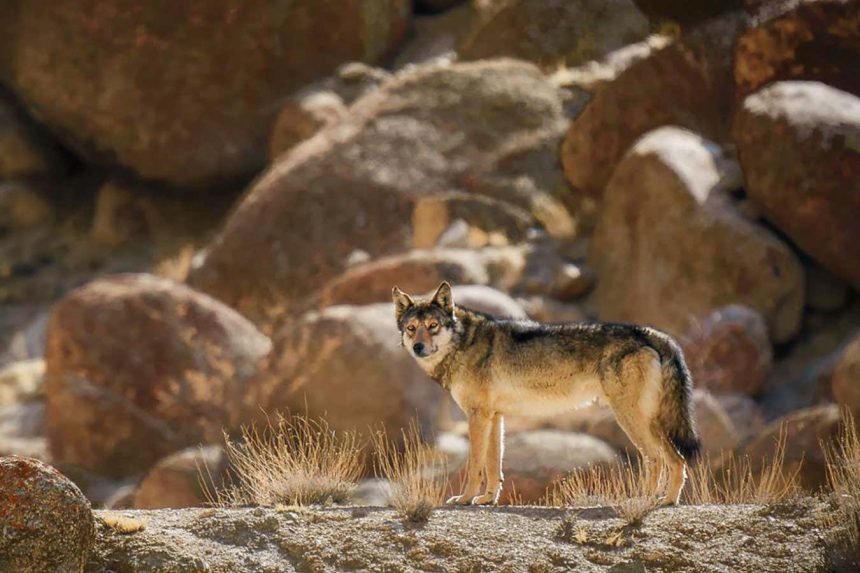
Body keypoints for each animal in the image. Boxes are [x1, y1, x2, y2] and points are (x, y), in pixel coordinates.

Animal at [392, 282, 700, 506]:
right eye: (411, 328)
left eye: (433, 326)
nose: (418, 347)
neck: (463, 343)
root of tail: (653, 334)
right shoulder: (495, 417)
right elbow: (493, 466)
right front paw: (487, 499)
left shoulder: (478, 416)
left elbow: (475, 465)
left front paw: (465, 498)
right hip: (649, 420)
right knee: (677, 459)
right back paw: (667, 500)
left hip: (630, 418)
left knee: (659, 458)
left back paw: (648, 501)